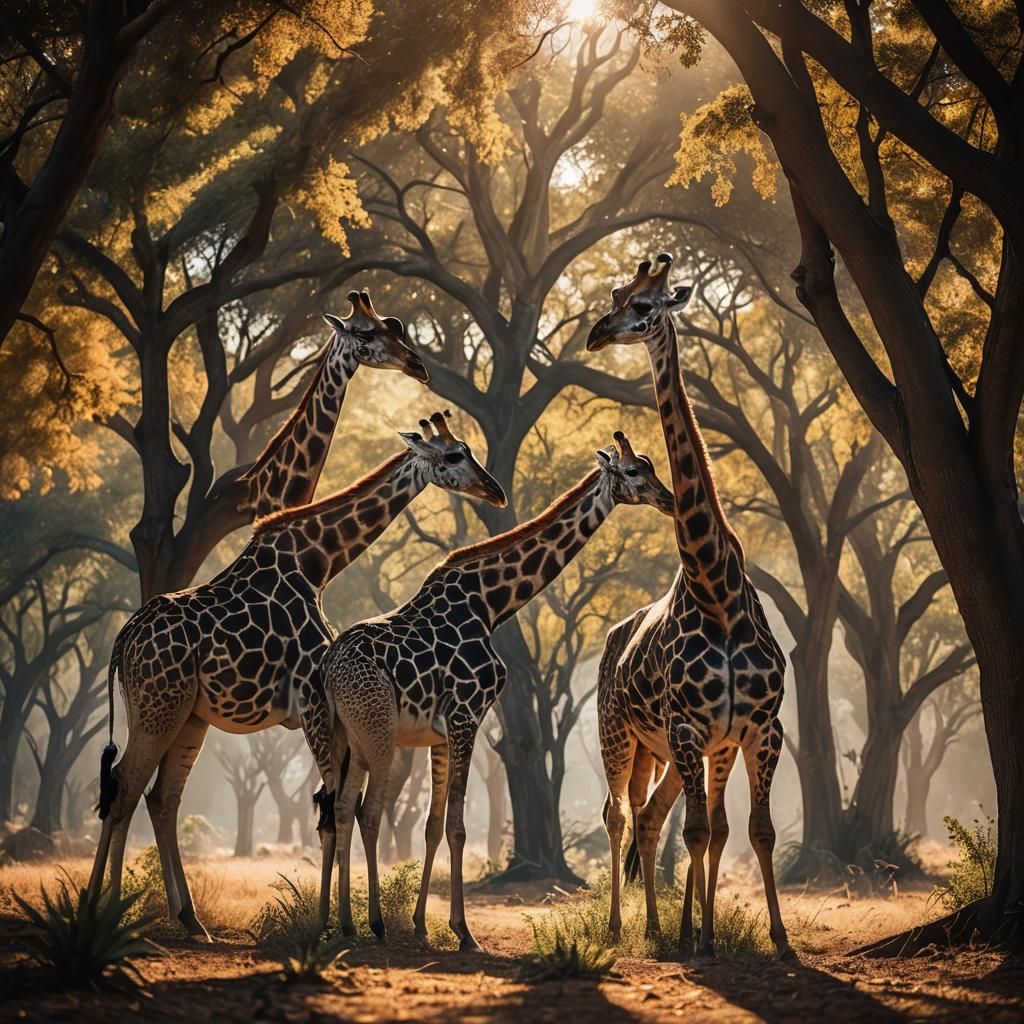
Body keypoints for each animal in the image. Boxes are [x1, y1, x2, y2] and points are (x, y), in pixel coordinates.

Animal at [86, 412, 506, 940]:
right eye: (454, 455)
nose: (495, 491)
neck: (318, 563)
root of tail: (123, 640)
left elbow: (333, 804)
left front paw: (338, 918)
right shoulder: (310, 700)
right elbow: (331, 805)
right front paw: (337, 922)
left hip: (186, 715)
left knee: (159, 796)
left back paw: (188, 920)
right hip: (158, 707)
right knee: (125, 784)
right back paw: (103, 913)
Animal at [319, 432, 674, 949]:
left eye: (651, 466)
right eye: (632, 472)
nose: (668, 500)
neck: (491, 604)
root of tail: (328, 670)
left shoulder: (441, 732)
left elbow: (433, 825)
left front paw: (423, 924)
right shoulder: (467, 715)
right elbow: (458, 826)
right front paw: (463, 931)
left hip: (345, 738)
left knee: (341, 809)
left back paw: (341, 923)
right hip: (378, 734)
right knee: (367, 813)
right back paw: (375, 924)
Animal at [586, 254, 792, 960]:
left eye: (645, 307)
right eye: (615, 295)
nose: (595, 333)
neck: (716, 587)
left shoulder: (757, 728)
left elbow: (750, 832)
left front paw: (772, 938)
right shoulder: (688, 727)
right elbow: (702, 833)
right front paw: (696, 939)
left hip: (691, 750)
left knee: (657, 818)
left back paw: (663, 927)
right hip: (621, 734)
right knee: (620, 815)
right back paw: (623, 928)